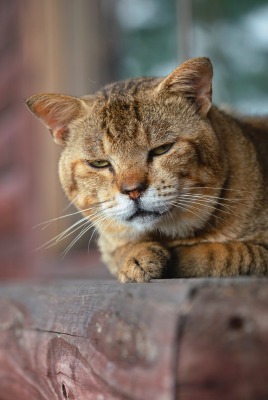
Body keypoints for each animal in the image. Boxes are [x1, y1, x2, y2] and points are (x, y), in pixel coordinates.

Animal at [25, 57, 268, 282]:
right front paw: (137, 257)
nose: (132, 191)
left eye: (162, 149)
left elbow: (221, 254)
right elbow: (121, 251)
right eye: (100, 163)